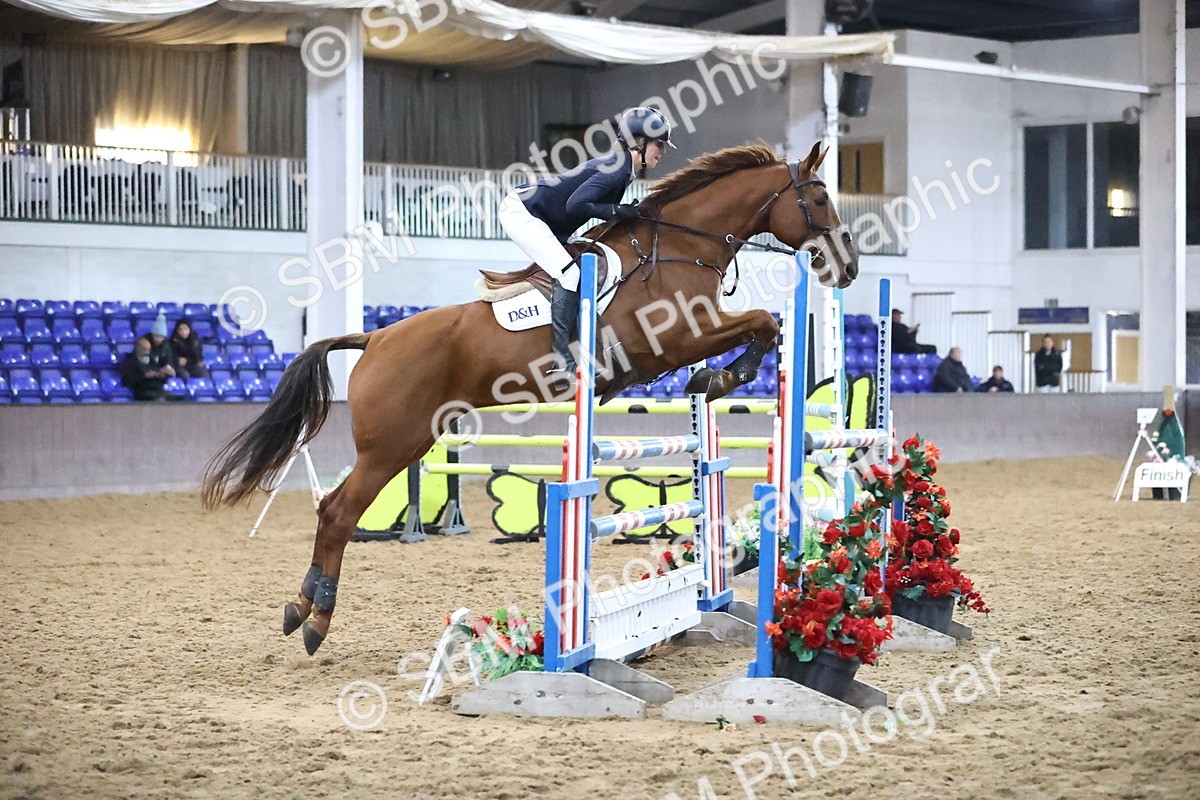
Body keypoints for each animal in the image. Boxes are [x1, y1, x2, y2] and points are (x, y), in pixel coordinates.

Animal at [202, 141, 859, 655]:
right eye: (821, 198)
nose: (849, 266)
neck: (676, 246)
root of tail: (377, 336)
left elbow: (762, 325)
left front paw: (715, 381)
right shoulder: (676, 339)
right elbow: (764, 322)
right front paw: (723, 377)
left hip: (411, 439)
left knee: (333, 510)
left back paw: (300, 607)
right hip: (391, 445)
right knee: (338, 512)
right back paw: (315, 617)